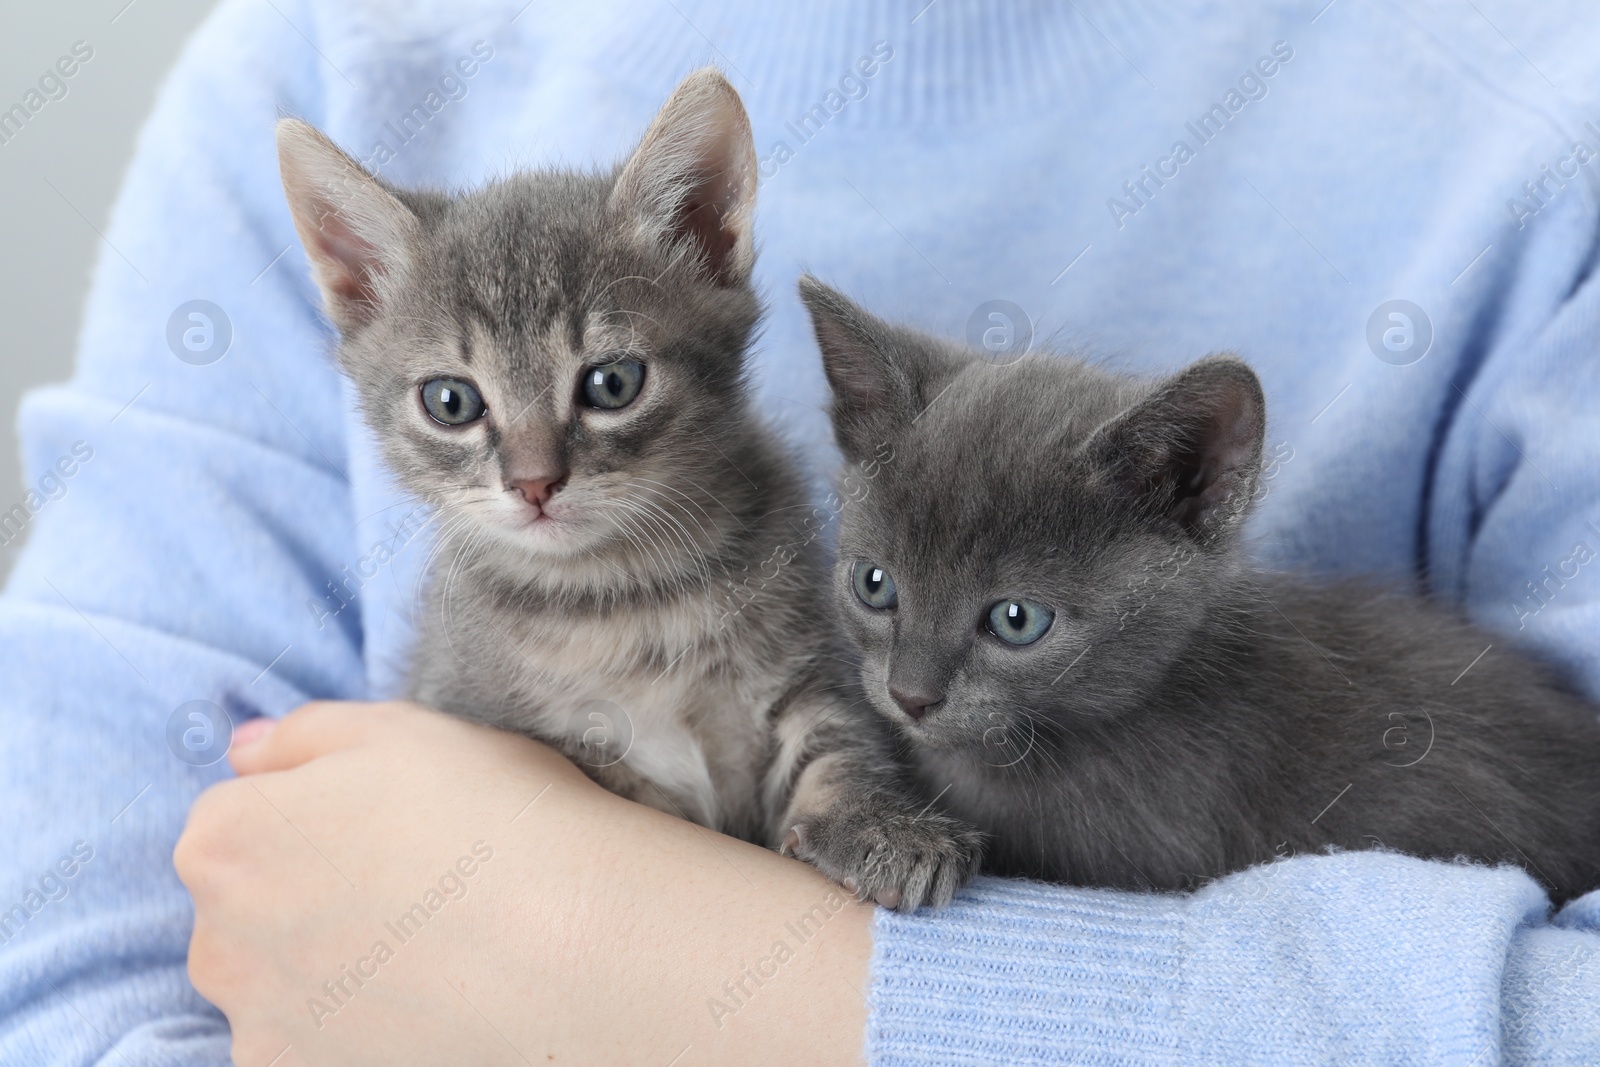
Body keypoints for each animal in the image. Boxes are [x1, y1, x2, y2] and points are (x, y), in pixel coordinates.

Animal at [272, 73, 972, 908]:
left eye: (612, 383)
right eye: (451, 401)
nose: (534, 481)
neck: (629, 595)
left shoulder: (810, 665)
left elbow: (838, 743)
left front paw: (882, 826)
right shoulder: (496, 712)